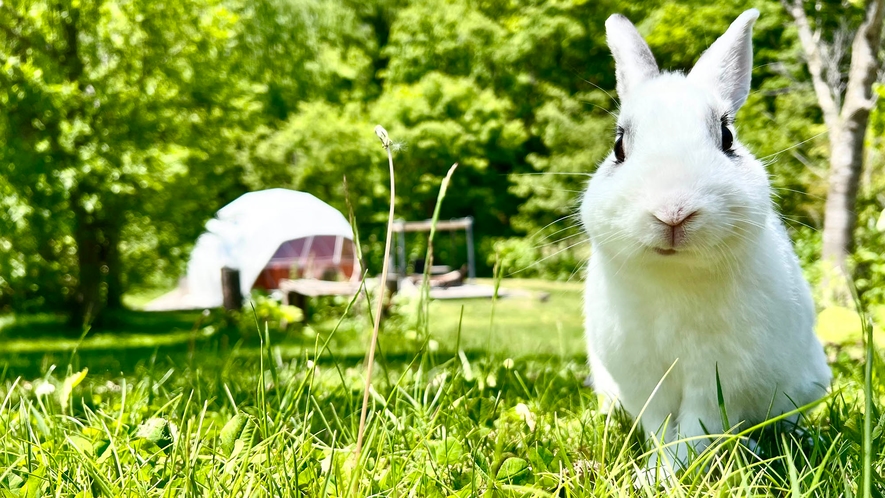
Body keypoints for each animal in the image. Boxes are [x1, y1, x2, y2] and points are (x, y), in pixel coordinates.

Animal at [580, 6, 828, 474]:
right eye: (619, 146)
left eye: (727, 138)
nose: (673, 211)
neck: (674, 273)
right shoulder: (645, 380)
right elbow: (660, 426)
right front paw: (655, 472)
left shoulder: (719, 379)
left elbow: (697, 428)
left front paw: (666, 473)